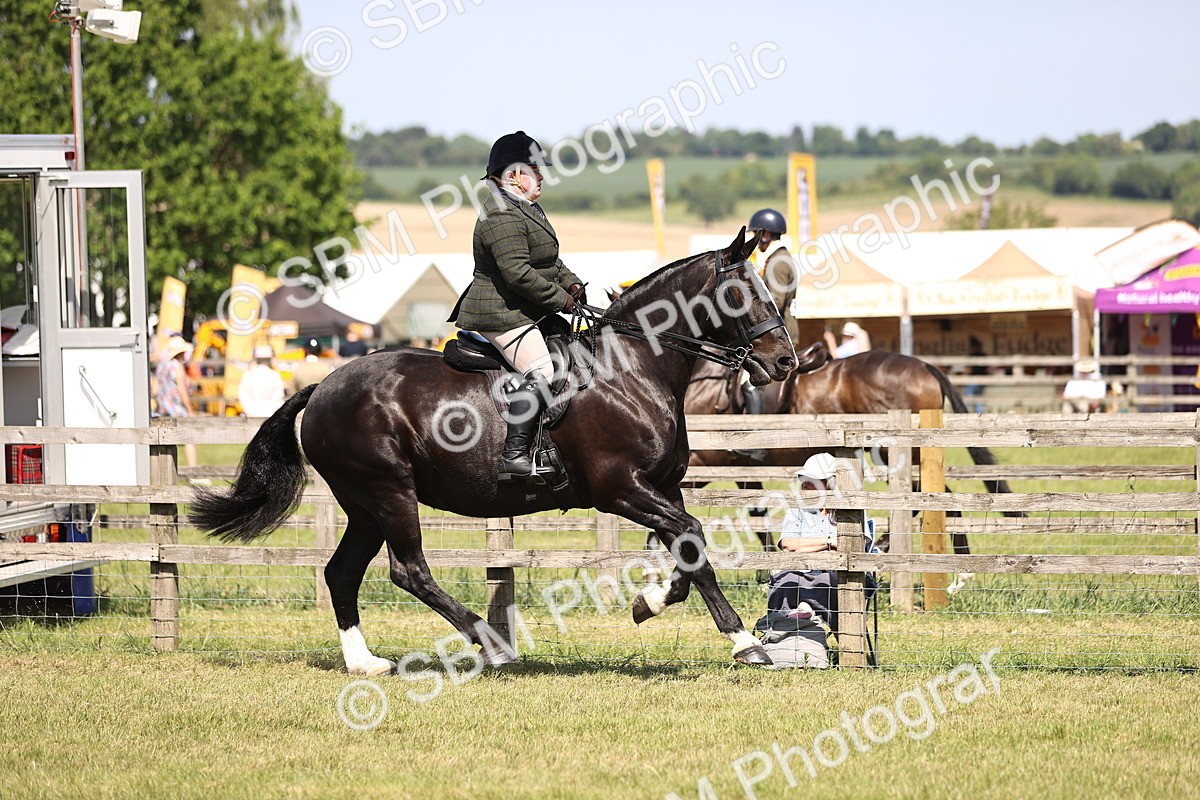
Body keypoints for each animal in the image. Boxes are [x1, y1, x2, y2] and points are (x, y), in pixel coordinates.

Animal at [190, 229, 799, 673]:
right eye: (742, 293)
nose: (785, 363)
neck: (631, 368)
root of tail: (322, 387)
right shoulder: (620, 489)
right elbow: (693, 540)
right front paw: (745, 643)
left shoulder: (663, 486)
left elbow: (687, 551)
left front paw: (648, 602)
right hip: (387, 491)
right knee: (409, 571)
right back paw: (493, 645)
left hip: (362, 504)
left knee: (342, 573)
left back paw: (366, 663)